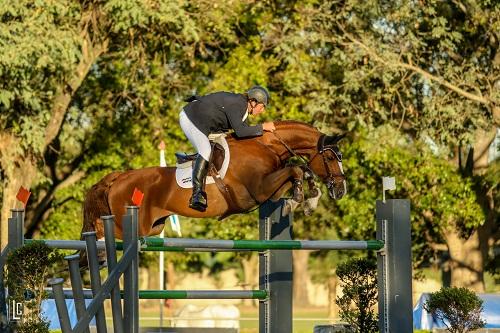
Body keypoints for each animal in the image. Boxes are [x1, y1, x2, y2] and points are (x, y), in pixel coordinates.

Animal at [83, 120, 348, 240]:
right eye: (331, 158)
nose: (341, 190)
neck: (266, 146)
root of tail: (119, 177)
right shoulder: (258, 189)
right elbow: (296, 171)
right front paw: (298, 200)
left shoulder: (269, 191)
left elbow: (300, 172)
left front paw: (309, 200)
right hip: (133, 225)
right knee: (104, 230)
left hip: (153, 226)